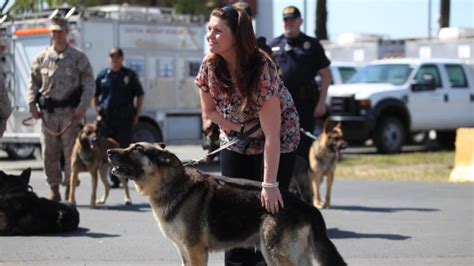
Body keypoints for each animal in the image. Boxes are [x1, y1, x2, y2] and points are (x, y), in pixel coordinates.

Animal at [106, 142, 344, 264]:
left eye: (137, 149)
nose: (109, 151)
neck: (171, 184)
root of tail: (307, 207)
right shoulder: (183, 251)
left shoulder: (195, 251)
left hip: (275, 254)